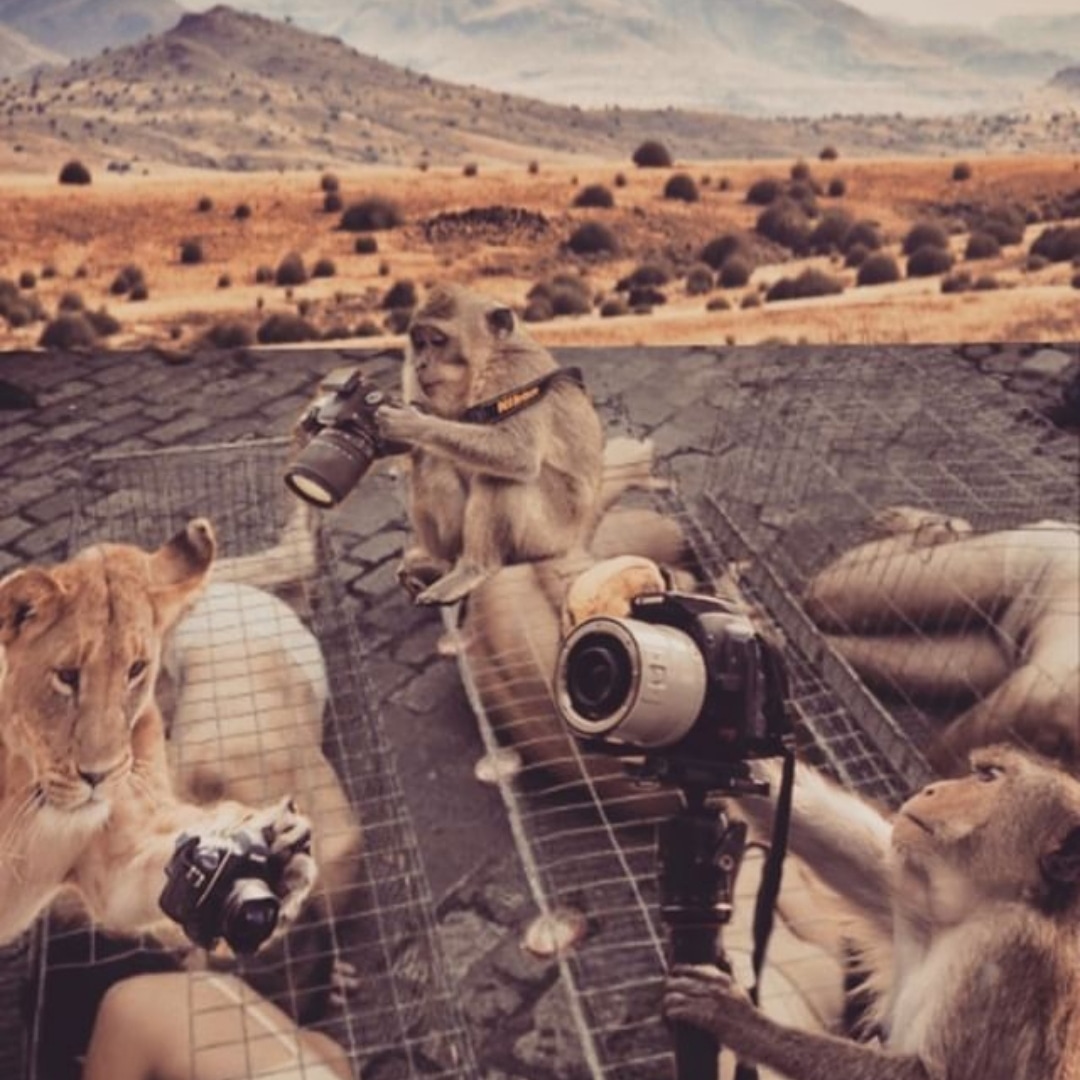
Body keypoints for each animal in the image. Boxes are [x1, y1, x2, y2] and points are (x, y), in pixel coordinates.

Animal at [375, 285, 605, 606]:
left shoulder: (515, 373)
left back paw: (473, 569)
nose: (421, 364)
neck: (488, 361)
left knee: (499, 475)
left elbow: (518, 453)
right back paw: (442, 563)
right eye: (420, 343)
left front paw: (413, 425)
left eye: (438, 341)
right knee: (431, 460)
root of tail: (578, 539)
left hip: (551, 535)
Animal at [664, 745, 1080, 1080]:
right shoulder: (925, 891)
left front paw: (738, 1020)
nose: (932, 788)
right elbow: (857, 858)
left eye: (988, 777)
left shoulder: (1014, 950)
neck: (990, 903)